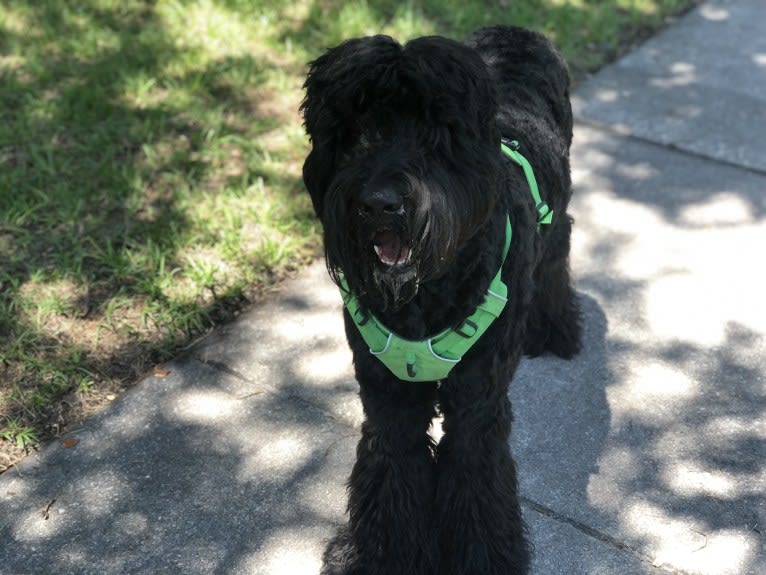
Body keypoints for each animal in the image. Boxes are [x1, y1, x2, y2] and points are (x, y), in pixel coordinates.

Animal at [304, 24, 580, 572]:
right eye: (353, 131)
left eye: (434, 133)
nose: (380, 204)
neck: (425, 296)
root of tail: (516, 30)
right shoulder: (387, 400)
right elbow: (392, 475)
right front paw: (383, 556)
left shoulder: (478, 401)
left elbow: (475, 479)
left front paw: (484, 557)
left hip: (558, 217)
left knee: (557, 257)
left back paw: (555, 326)